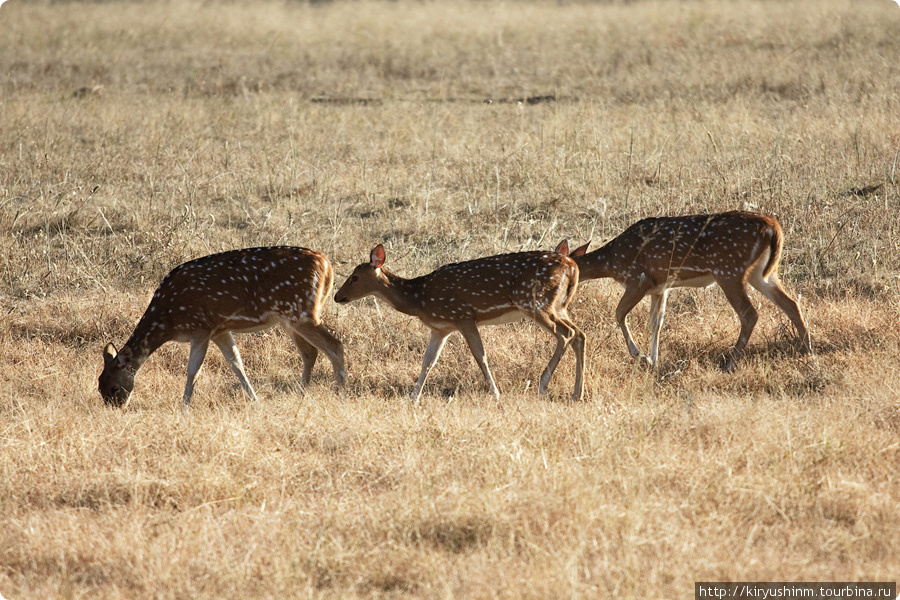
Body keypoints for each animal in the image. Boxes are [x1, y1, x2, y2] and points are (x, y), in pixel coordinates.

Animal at [98, 245, 344, 408]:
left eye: (114, 387)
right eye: (99, 387)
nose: (116, 408)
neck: (168, 319)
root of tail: (327, 265)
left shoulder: (200, 327)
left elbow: (193, 370)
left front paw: (184, 406)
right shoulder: (220, 330)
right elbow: (236, 364)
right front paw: (255, 400)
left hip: (301, 312)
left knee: (335, 345)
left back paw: (339, 394)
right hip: (291, 318)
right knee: (310, 352)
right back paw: (301, 396)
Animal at [334, 241, 588, 400]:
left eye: (354, 277)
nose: (337, 297)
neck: (419, 299)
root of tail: (573, 266)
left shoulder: (463, 316)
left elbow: (479, 355)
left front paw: (495, 393)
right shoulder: (441, 328)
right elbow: (428, 361)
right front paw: (413, 397)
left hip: (534, 302)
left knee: (566, 333)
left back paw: (543, 385)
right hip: (558, 305)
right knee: (579, 334)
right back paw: (577, 393)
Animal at [572, 211, 812, 370]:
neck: (612, 260)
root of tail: (772, 226)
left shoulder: (638, 279)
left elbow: (619, 313)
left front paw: (641, 356)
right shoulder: (660, 287)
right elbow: (656, 322)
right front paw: (654, 360)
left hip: (729, 270)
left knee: (749, 314)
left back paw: (730, 363)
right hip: (762, 273)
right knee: (792, 304)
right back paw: (808, 352)